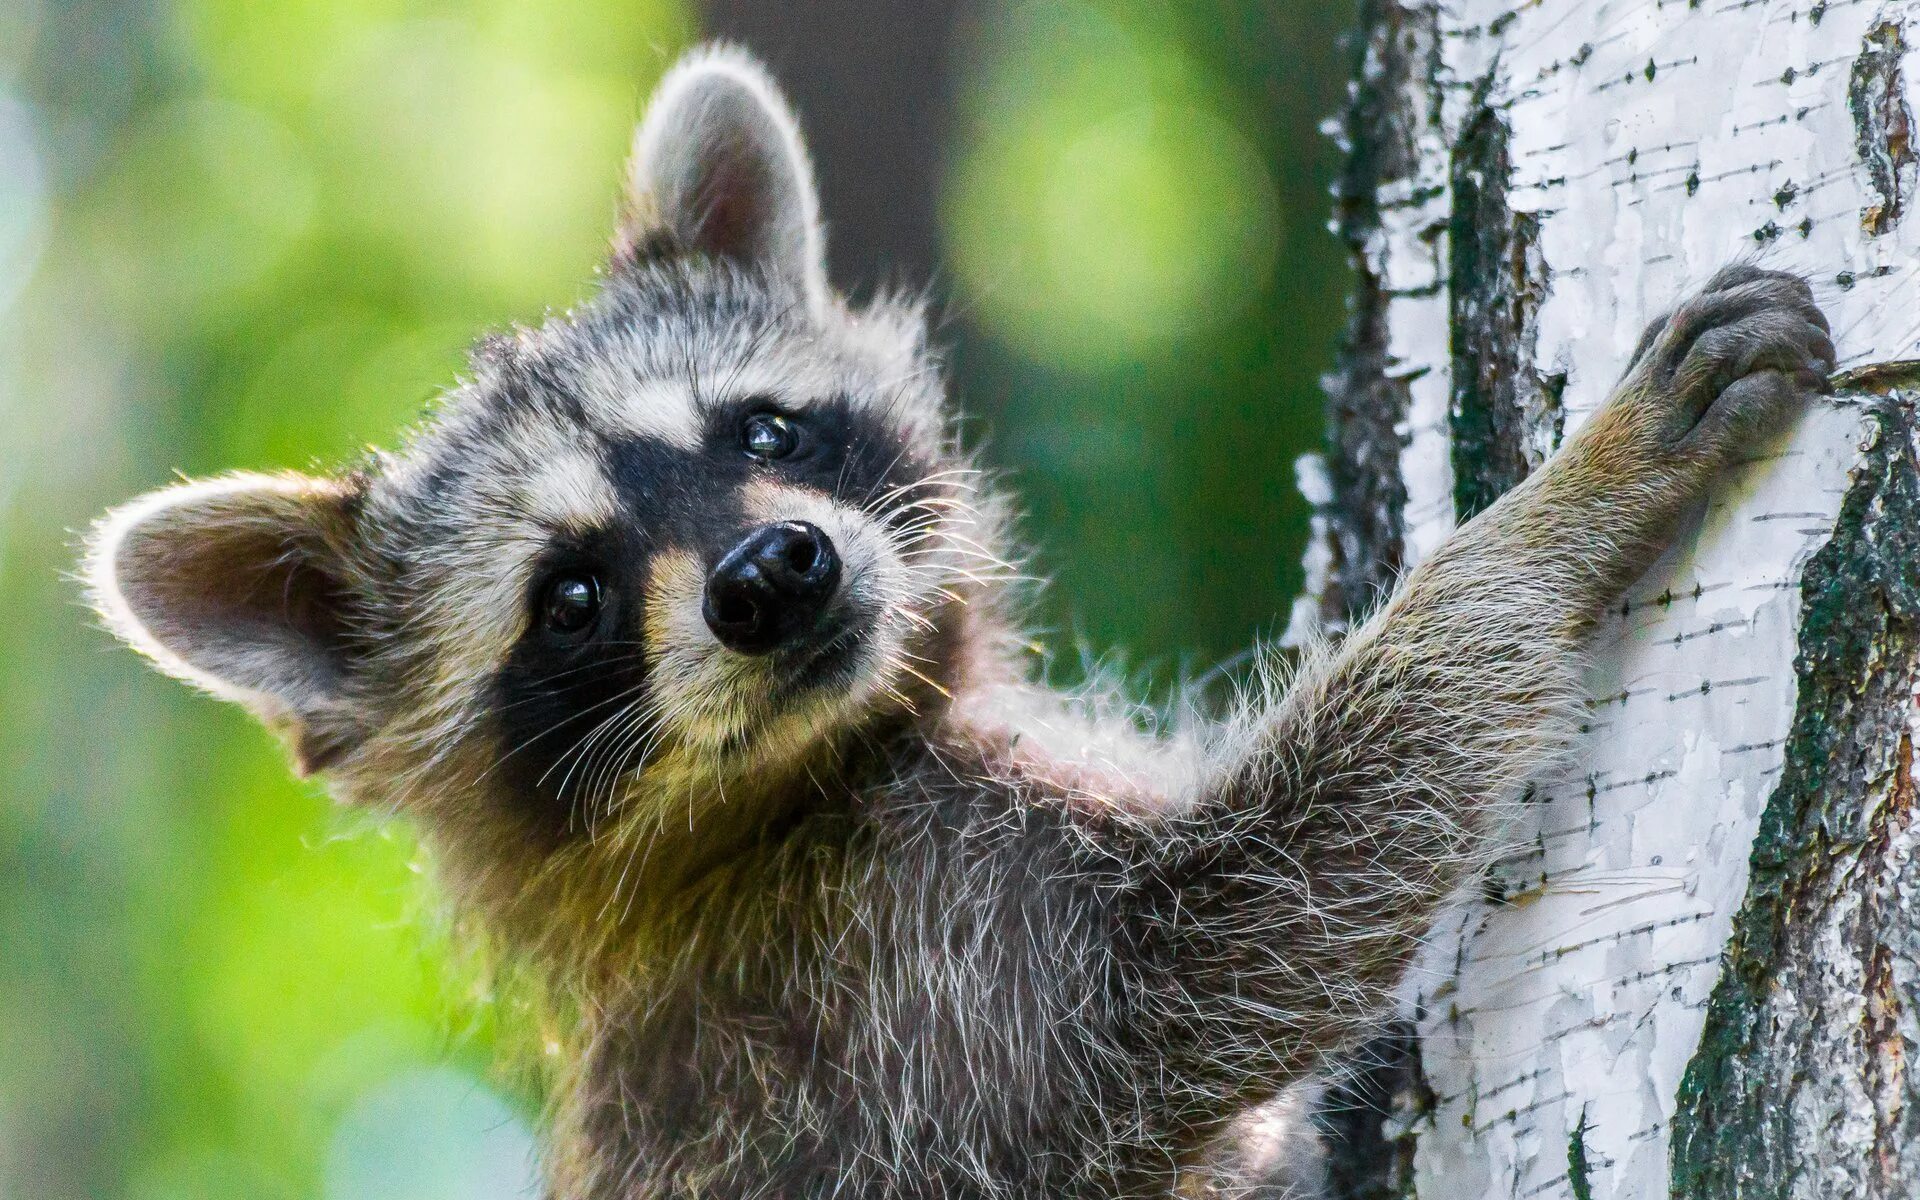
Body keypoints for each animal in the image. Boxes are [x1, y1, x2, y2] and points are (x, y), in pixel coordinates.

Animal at [86, 44, 1827, 1198]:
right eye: (570, 598)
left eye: (763, 431)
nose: (771, 573)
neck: (786, 787)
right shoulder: (928, 974)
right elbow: (1263, 911)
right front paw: (1556, 521)